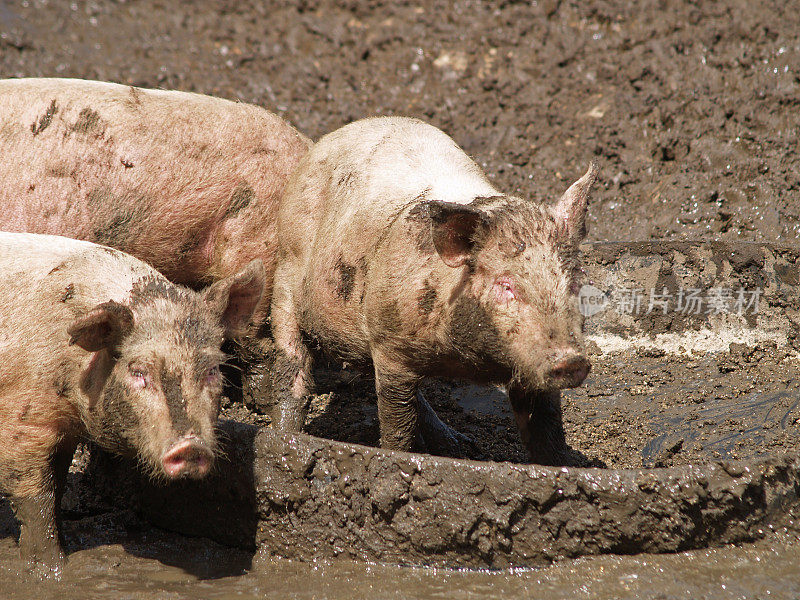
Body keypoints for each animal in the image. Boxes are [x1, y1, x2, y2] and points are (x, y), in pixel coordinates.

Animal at [0, 233, 266, 576]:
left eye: (211, 369)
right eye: (138, 371)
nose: (190, 446)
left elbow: (57, 487)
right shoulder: (24, 420)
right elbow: (37, 499)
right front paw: (51, 570)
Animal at [272, 117, 596, 464]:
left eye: (575, 280)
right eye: (506, 285)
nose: (571, 361)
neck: (468, 360)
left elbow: (546, 431)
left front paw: (564, 467)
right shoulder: (389, 344)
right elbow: (398, 423)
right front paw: (396, 459)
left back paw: (460, 446)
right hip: (286, 270)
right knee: (292, 368)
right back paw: (285, 437)